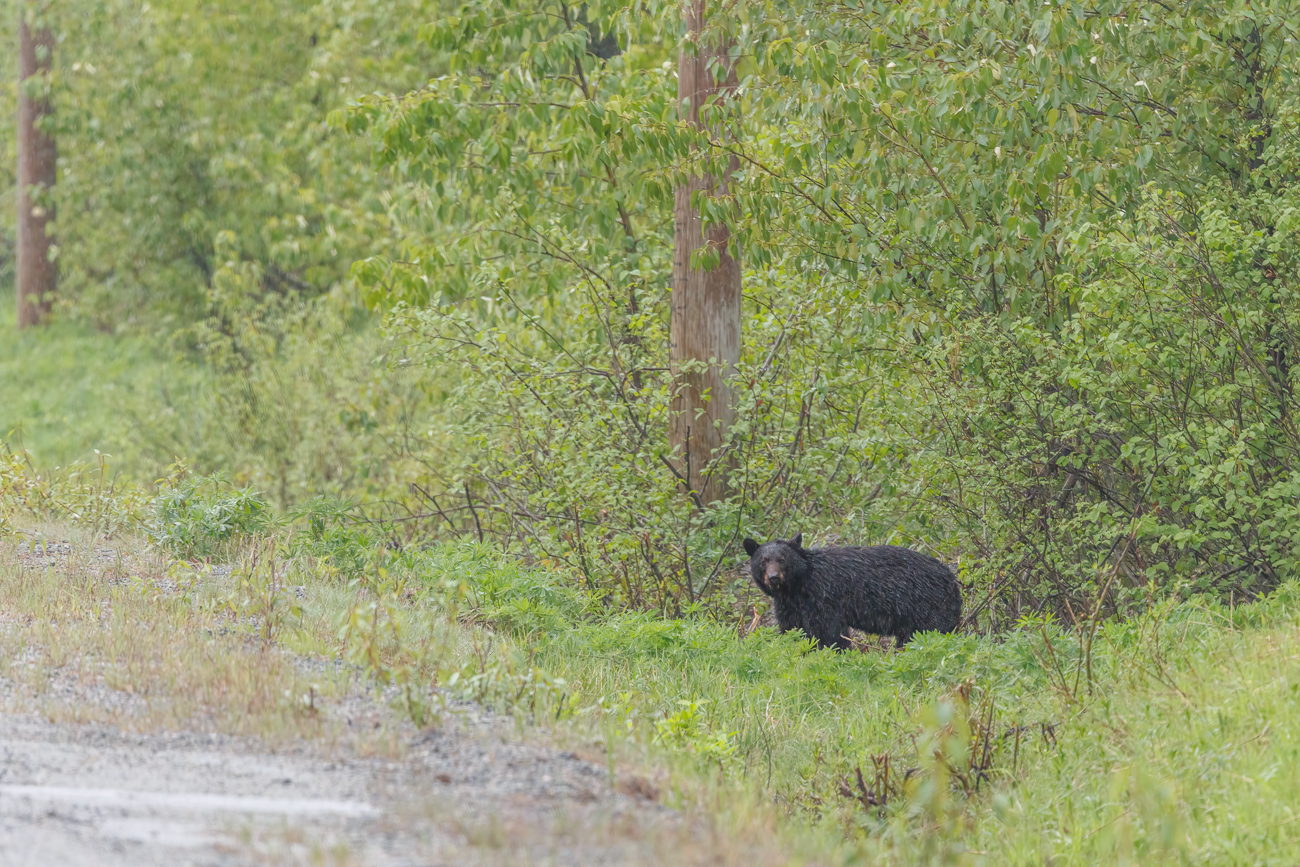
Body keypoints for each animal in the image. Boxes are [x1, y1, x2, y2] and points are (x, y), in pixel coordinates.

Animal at [742, 533, 961, 650]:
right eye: (763, 561)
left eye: (782, 559)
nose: (773, 578)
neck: (797, 586)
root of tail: (952, 580)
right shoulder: (789, 605)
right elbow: (792, 629)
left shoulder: (823, 597)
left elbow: (827, 633)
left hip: (925, 607)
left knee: (929, 633)